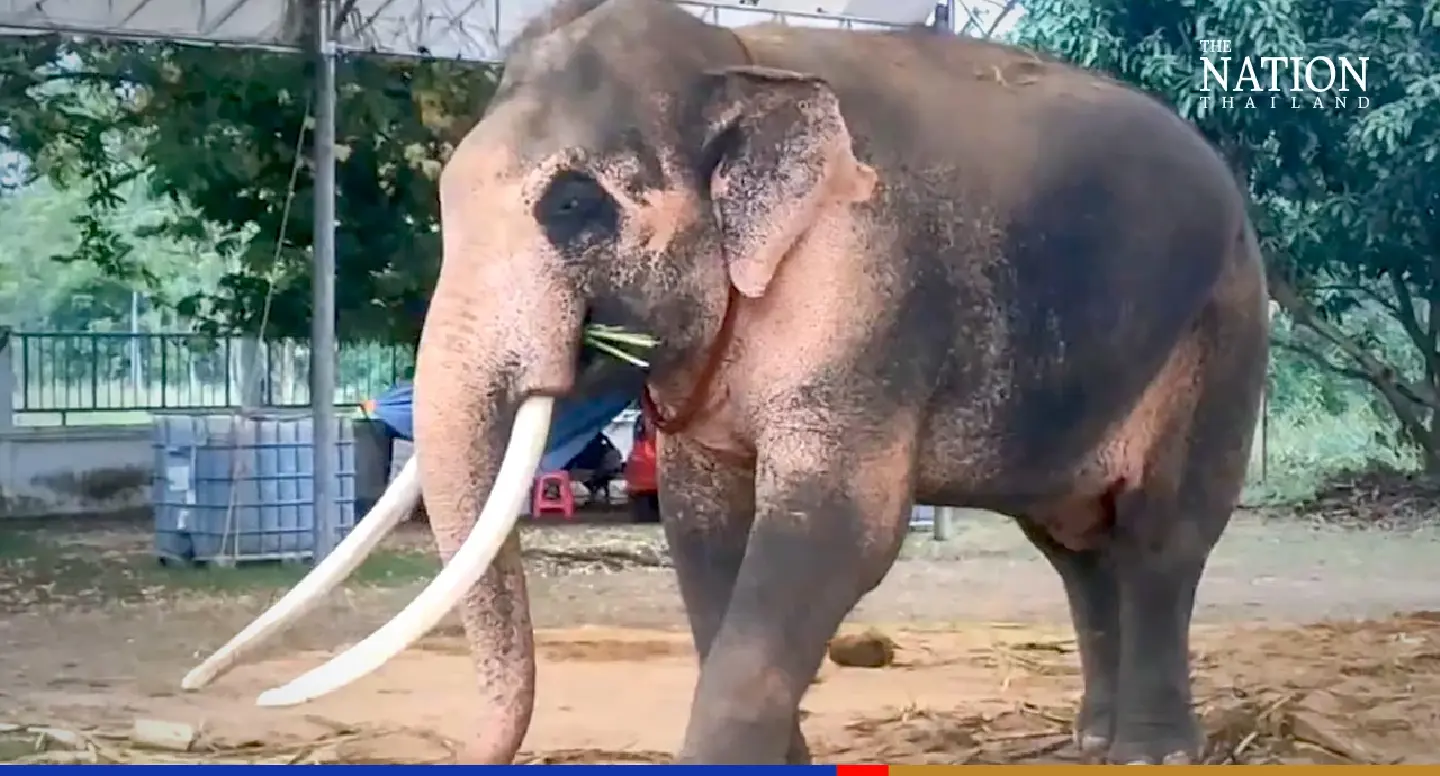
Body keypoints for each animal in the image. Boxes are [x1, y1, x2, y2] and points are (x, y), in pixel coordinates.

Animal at [181, 0, 1270, 765]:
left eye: (571, 205)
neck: (728, 55)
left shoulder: (870, 293)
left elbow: (836, 530)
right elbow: (704, 527)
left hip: (1224, 331)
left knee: (1161, 537)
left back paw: (1155, 752)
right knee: (1077, 547)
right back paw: (1095, 742)